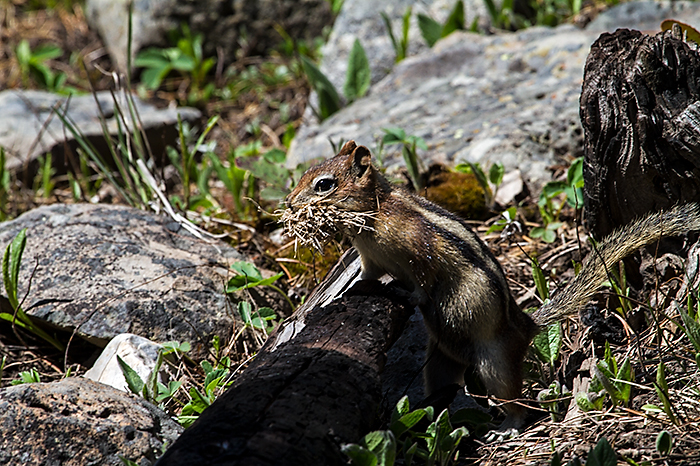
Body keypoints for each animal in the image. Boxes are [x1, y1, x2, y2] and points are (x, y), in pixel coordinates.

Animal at [283, 140, 700, 432]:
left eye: (323, 185)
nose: (288, 202)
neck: (376, 213)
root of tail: (527, 325)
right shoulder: (369, 260)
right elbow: (366, 279)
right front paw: (342, 294)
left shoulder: (420, 253)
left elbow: (424, 284)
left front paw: (408, 294)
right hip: (442, 358)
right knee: (443, 380)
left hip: (494, 362)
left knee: (516, 400)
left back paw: (509, 425)